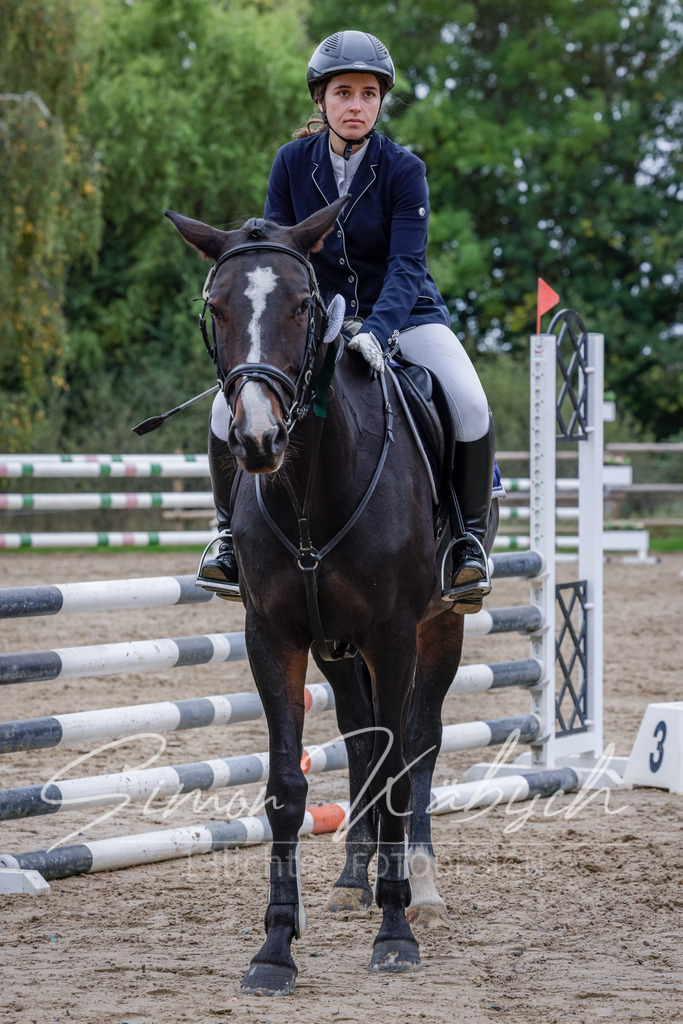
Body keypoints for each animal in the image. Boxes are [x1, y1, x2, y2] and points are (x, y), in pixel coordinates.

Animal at [165, 195, 498, 996]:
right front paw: (275, 948)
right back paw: (353, 880)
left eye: (301, 303)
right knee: (360, 737)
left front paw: (397, 936)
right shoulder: (274, 636)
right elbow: (288, 785)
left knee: (418, 744)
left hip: (439, 629)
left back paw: (419, 887)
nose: (256, 440)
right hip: (337, 648)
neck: (310, 487)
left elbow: (404, 767)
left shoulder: (396, 634)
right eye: (217, 307)